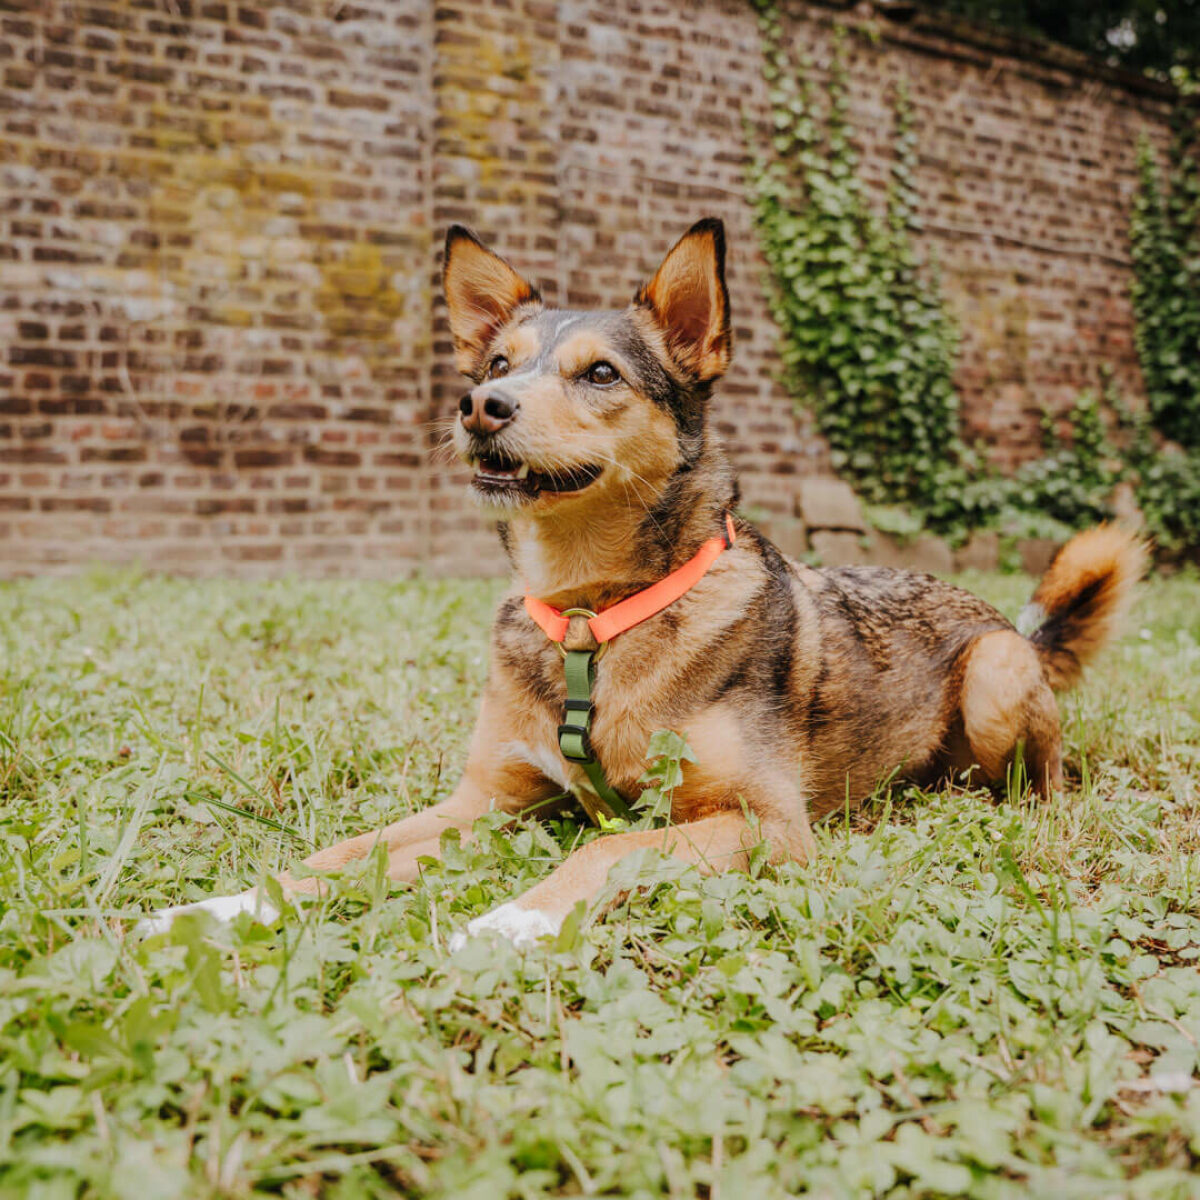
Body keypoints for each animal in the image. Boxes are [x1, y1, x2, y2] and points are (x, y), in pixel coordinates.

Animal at [138, 216, 1142, 945]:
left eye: (601, 373)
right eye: (497, 364)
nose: (478, 407)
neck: (591, 617)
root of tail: (1006, 620)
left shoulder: (763, 824)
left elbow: (610, 850)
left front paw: (508, 922)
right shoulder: (487, 800)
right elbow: (344, 851)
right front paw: (219, 909)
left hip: (996, 682)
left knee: (1046, 783)